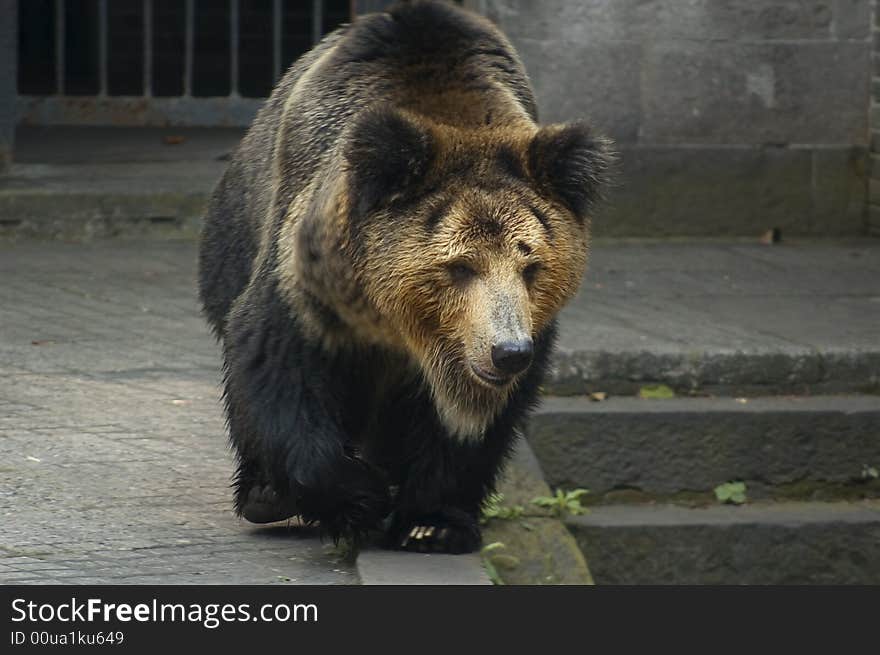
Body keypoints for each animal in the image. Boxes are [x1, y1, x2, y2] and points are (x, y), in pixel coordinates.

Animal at [199, 0, 612, 552]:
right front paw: (357, 499)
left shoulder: (515, 332)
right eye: (460, 266)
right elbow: (280, 367)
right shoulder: (308, 286)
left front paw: (432, 521)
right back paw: (266, 494)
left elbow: (473, 426)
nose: (507, 352)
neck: (404, 326)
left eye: (532, 265)